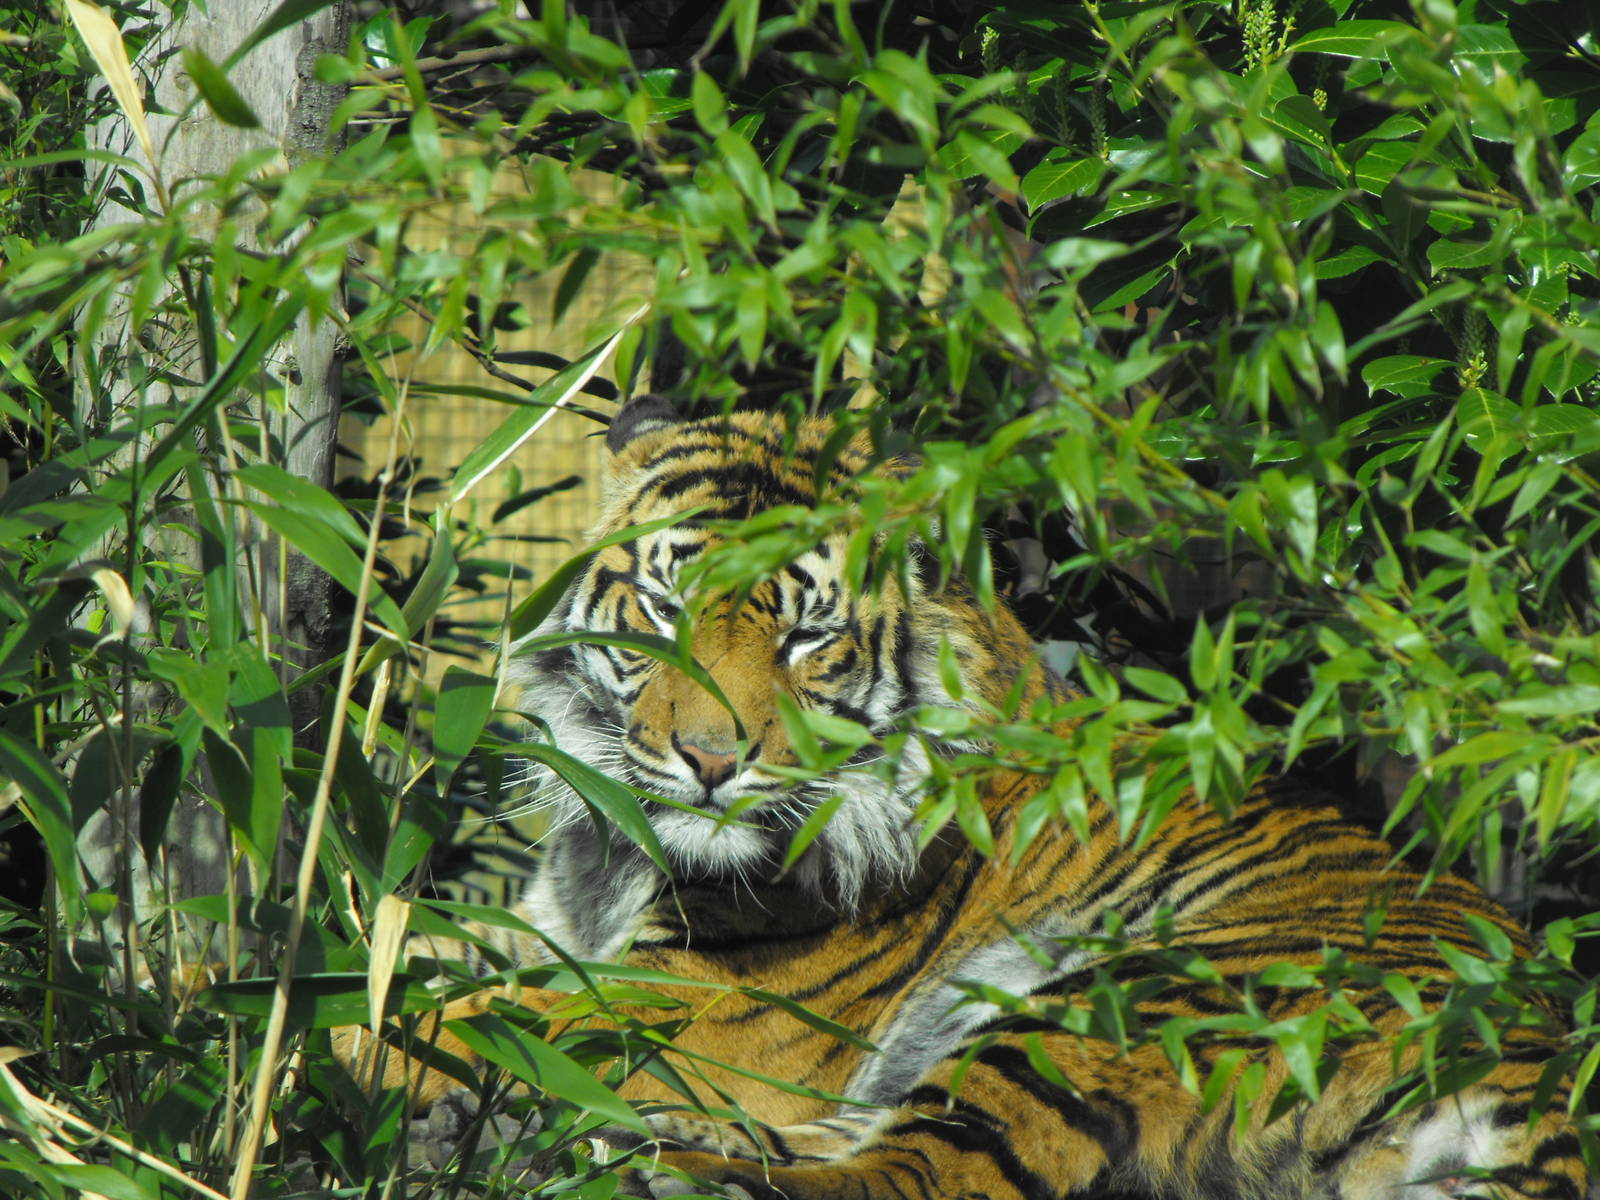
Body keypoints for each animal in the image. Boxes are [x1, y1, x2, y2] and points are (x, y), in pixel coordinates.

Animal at [342, 396, 1590, 1200]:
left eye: (806, 638)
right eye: (663, 609)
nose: (709, 761)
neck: (617, 855)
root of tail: (1538, 1064)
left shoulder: (674, 999)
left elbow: (420, 1016)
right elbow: (409, 967)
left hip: (1110, 1003)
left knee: (913, 1176)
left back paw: (651, 1164)